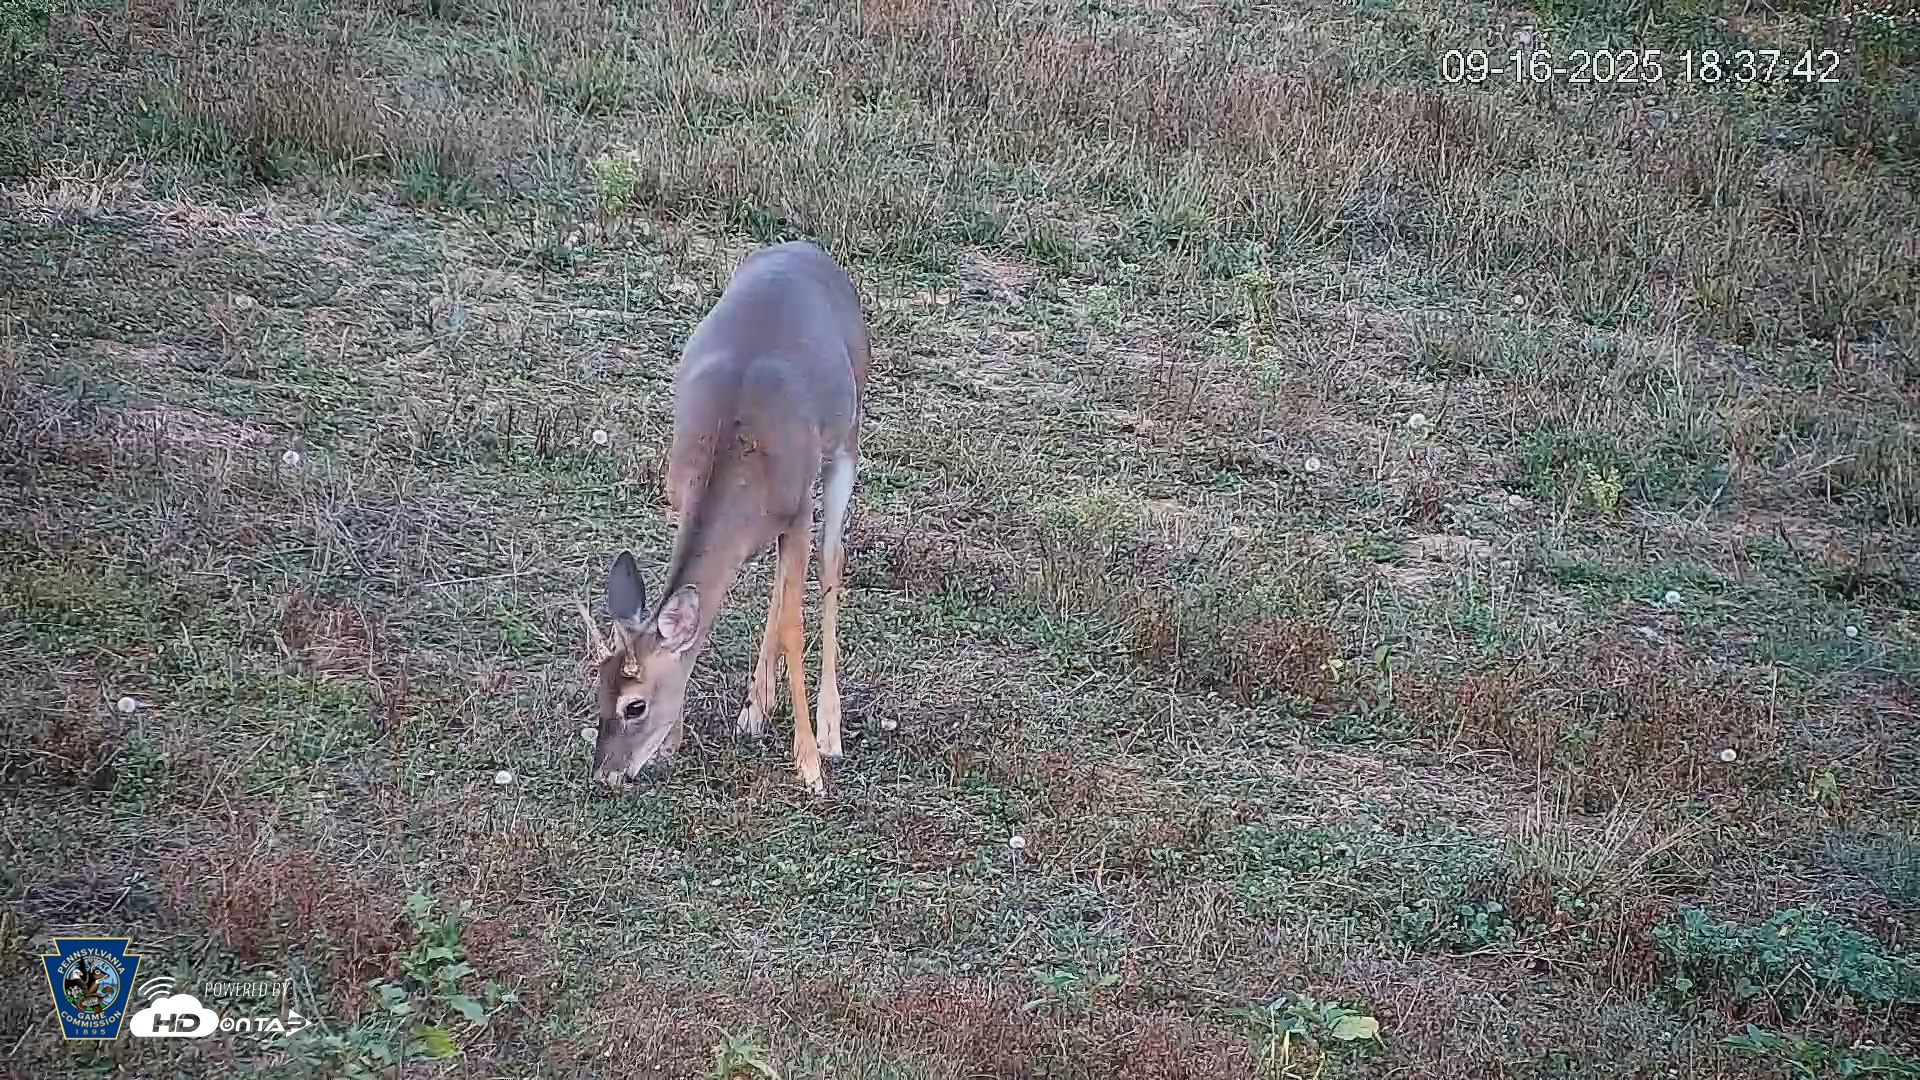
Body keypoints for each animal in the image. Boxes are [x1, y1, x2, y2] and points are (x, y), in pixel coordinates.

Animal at [581, 240, 871, 797]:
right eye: (597, 690)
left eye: (635, 705)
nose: (606, 773)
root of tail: (810, 249)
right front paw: (676, 741)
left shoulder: (797, 507)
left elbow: (794, 623)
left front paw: (809, 764)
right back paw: (756, 709)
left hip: (847, 437)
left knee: (831, 562)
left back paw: (829, 730)